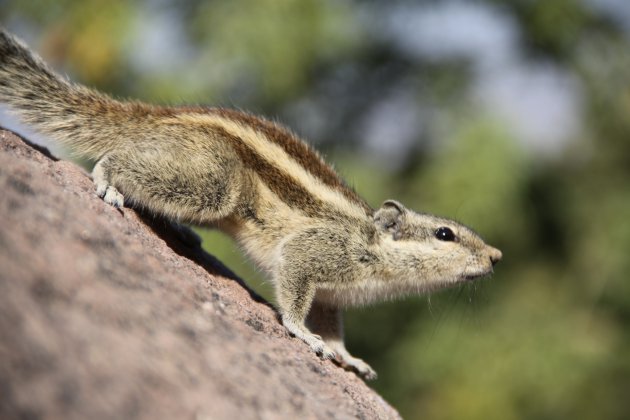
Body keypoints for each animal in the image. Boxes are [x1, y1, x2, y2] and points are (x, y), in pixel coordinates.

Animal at [0, 27, 504, 378]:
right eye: (445, 233)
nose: (497, 256)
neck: (374, 249)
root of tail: (163, 116)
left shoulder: (332, 295)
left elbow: (333, 326)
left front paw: (348, 358)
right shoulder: (314, 252)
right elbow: (296, 293)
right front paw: (304, 335)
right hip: (214, 182)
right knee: (117, 158)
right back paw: (108, 182)